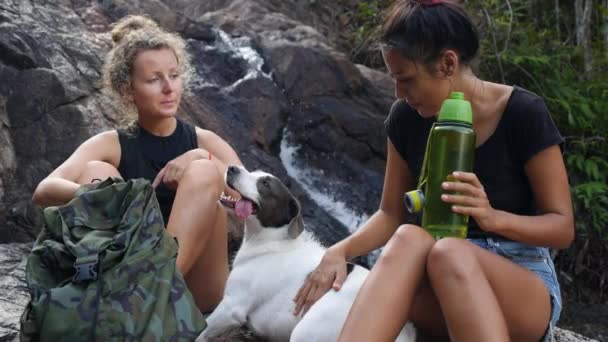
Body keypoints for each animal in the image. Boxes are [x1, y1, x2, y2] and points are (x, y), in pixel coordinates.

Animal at [197, 166, 416, 342]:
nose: (232, 168)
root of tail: (405, 332)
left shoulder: (231, 306)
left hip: (307, 331)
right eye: (253, 171)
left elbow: (202, 332)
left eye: (265, 183)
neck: (272, 240)